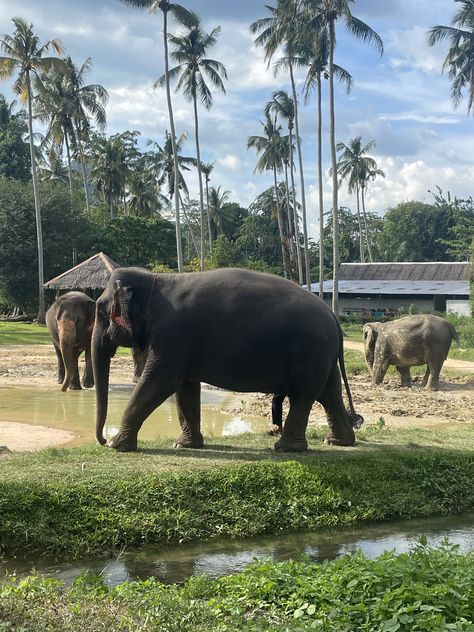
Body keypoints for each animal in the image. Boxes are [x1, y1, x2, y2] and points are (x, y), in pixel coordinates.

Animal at [90, 266, 362, 454]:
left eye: (102, 311)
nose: (101, 440)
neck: (155, 279)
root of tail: (333, 316)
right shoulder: (181, 344)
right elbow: (185, 388)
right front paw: (185, 445)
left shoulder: (172, 335)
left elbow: (160, 383)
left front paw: (116, 445)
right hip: (322, 353)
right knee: (329, 394)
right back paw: (338, 441)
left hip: (309, 350)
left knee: (303, 395)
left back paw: (287, 448)